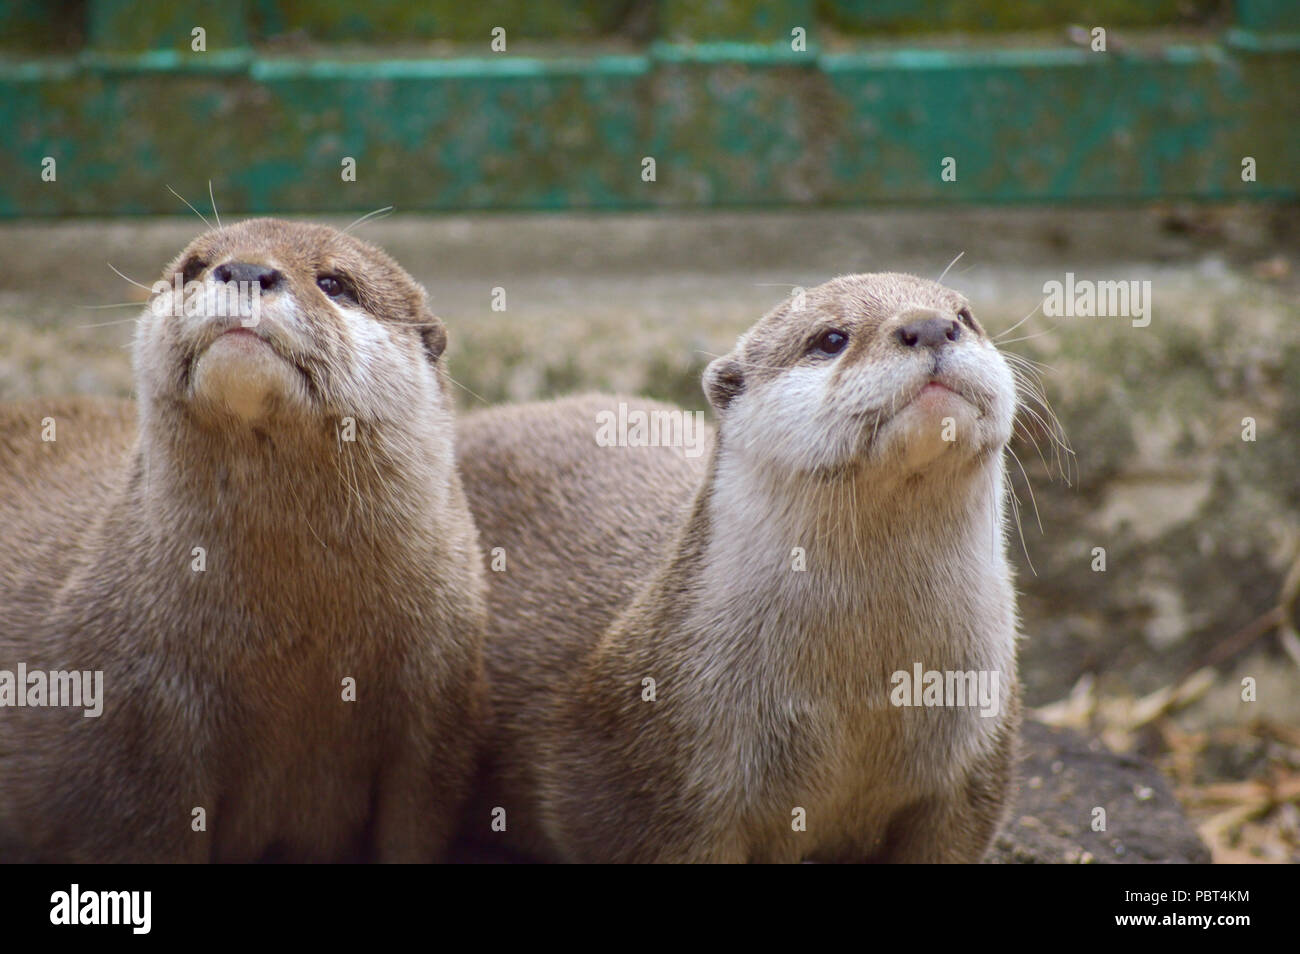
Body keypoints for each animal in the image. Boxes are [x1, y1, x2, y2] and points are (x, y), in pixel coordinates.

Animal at [0, 218, 485, 862]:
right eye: (195, 266)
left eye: (335, 283)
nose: (247, 270)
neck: (296, 642)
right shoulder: (136, 745)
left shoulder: (435, 722)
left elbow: (416, 828)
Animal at [456, 273, 1020, 862]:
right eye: (831, 338)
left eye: (965, 316)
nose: (930, 326)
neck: (861, 699)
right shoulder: (661, 790)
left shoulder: (973, 766)